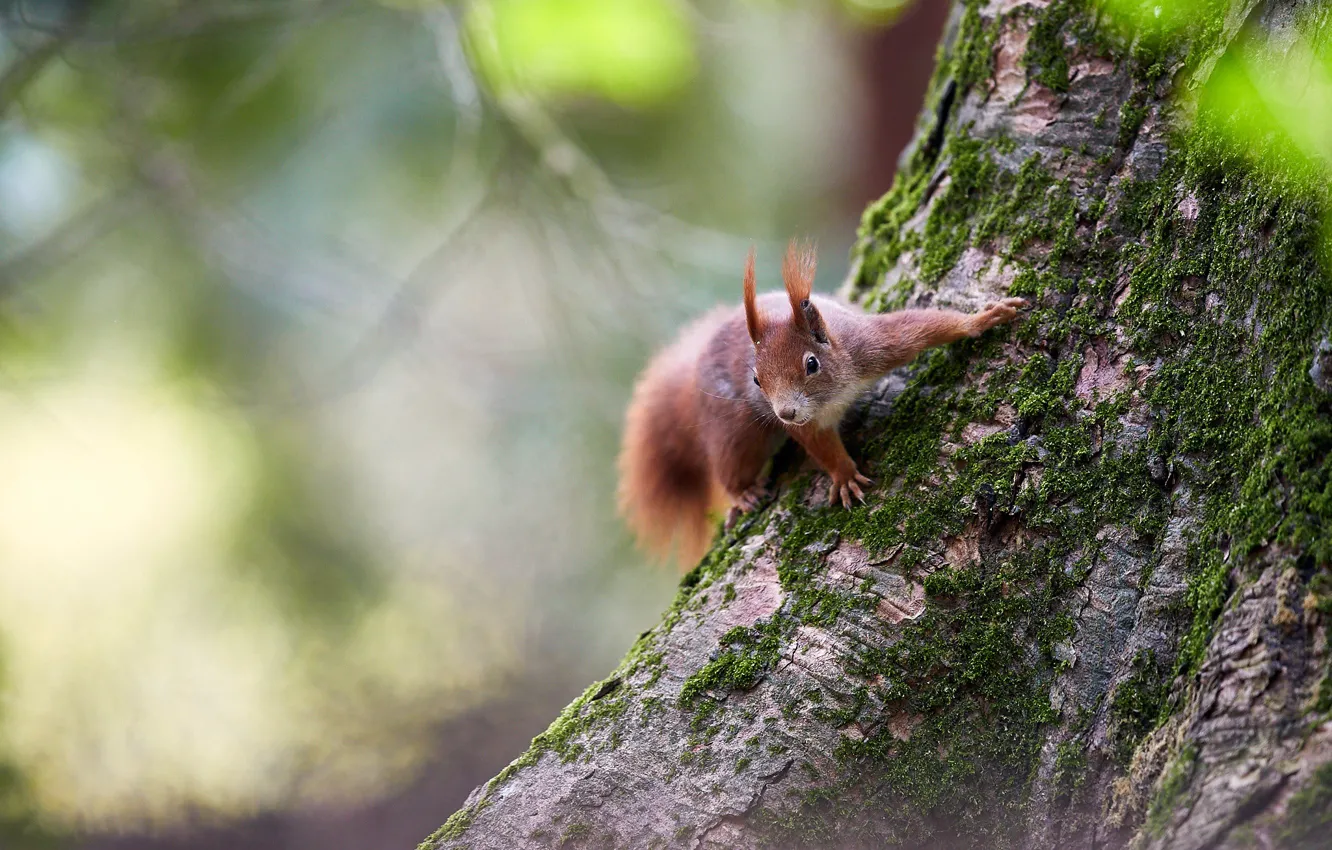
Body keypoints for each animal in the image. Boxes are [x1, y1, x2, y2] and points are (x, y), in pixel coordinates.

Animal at [617, 239, 1026, 566]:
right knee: (730, 463)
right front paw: (843, 475)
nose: (785, 412)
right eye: (756, 380)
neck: (834, 393)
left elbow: (920, 327)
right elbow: (820, 446)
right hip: (734, 427)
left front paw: (982, 319)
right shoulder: (807, 424)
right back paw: (743, 493)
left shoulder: (871, 346)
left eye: (811, 364)